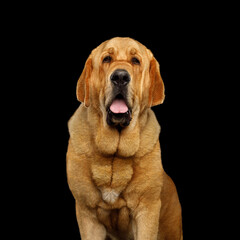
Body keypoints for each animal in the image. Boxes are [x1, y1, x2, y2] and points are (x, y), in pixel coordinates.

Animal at [66, 36, 183, 239]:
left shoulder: (146, 211)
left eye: (135, 61)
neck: (114, 153)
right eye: (107, 59)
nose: (120, 77)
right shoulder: (87, 214)